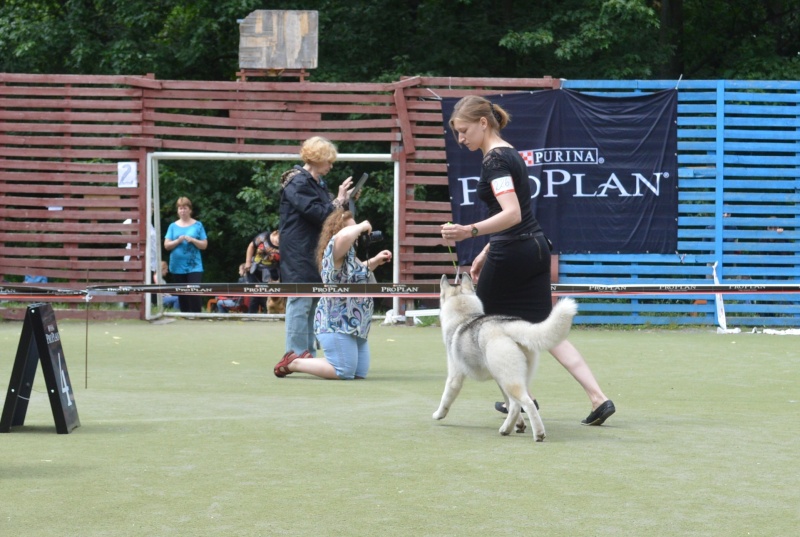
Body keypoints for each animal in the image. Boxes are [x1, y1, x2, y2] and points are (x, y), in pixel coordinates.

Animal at [434, 274, 580, 442]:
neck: (464, 316)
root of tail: (508, 326)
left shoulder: (455, 377)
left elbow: (446, 398)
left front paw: (438, 415)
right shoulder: (499, 381)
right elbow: (510, 405)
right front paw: (519, 424)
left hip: (509, 381)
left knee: (527, 403)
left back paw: (538, 433)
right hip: (512, 379)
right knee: (516, 405)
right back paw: (507, 429)